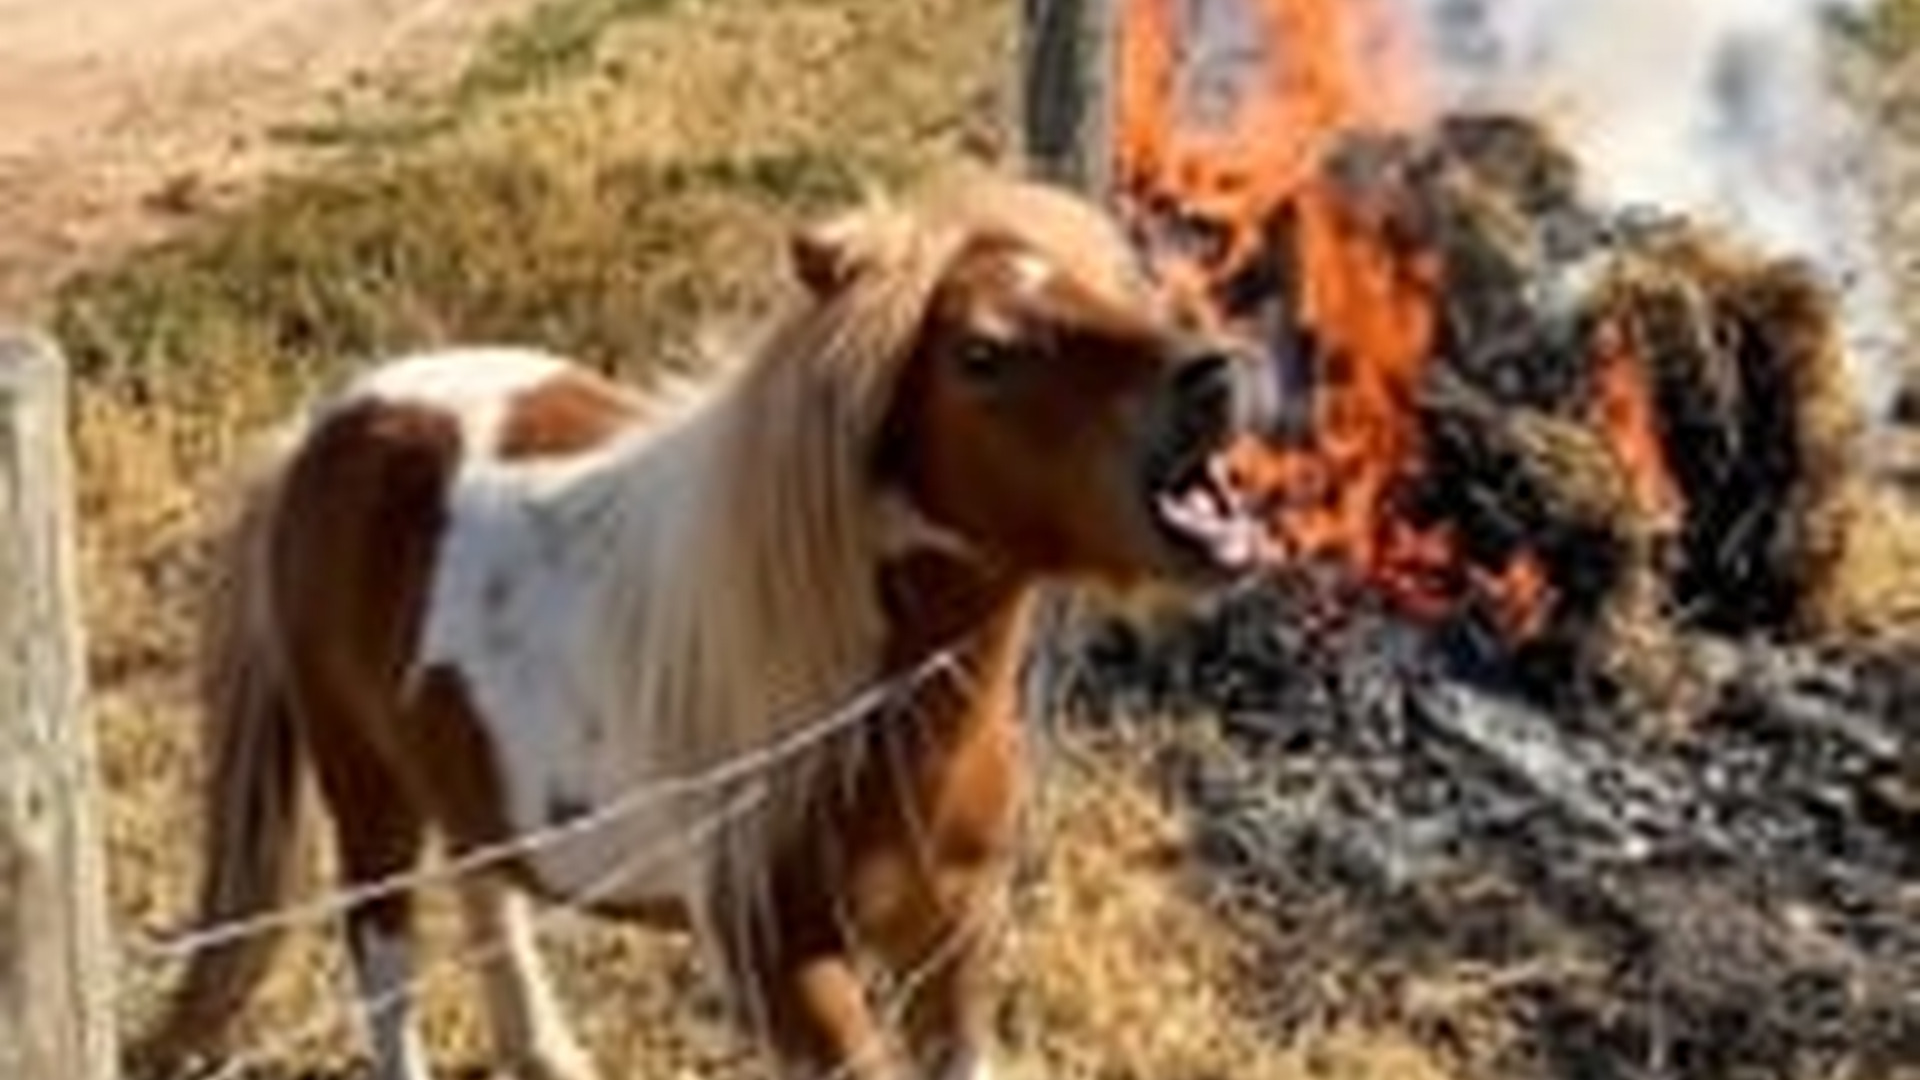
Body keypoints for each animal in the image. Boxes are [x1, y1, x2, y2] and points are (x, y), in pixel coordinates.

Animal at [141, 172, 1275, 1080]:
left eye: (1116, 287)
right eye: (984, 352)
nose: (1218, 374)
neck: (863, 710)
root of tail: (319, 435)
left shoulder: (952, 933)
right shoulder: (786, 966)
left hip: (465, 775)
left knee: (488, 892)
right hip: (366, 789)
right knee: (386, 963)